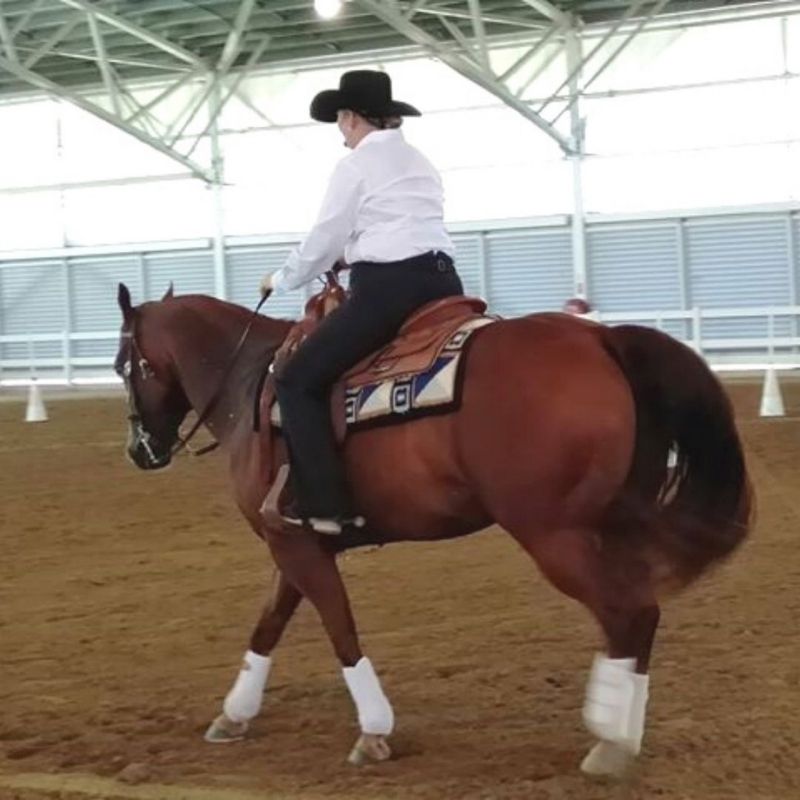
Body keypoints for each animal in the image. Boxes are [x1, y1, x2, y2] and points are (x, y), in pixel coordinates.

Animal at [114, 282, 751, 776]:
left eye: (126, 366)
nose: (140, 451)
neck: (252, 385)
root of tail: (599, 339)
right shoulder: (295, 540)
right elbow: (269, 624)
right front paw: (234, 714)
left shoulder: (295, 543)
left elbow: (339, 628)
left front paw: (374, 731)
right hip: (608, 526)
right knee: (640, 614)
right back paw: (624, 732)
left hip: (556, 537)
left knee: (630, 613)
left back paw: (608, 741)